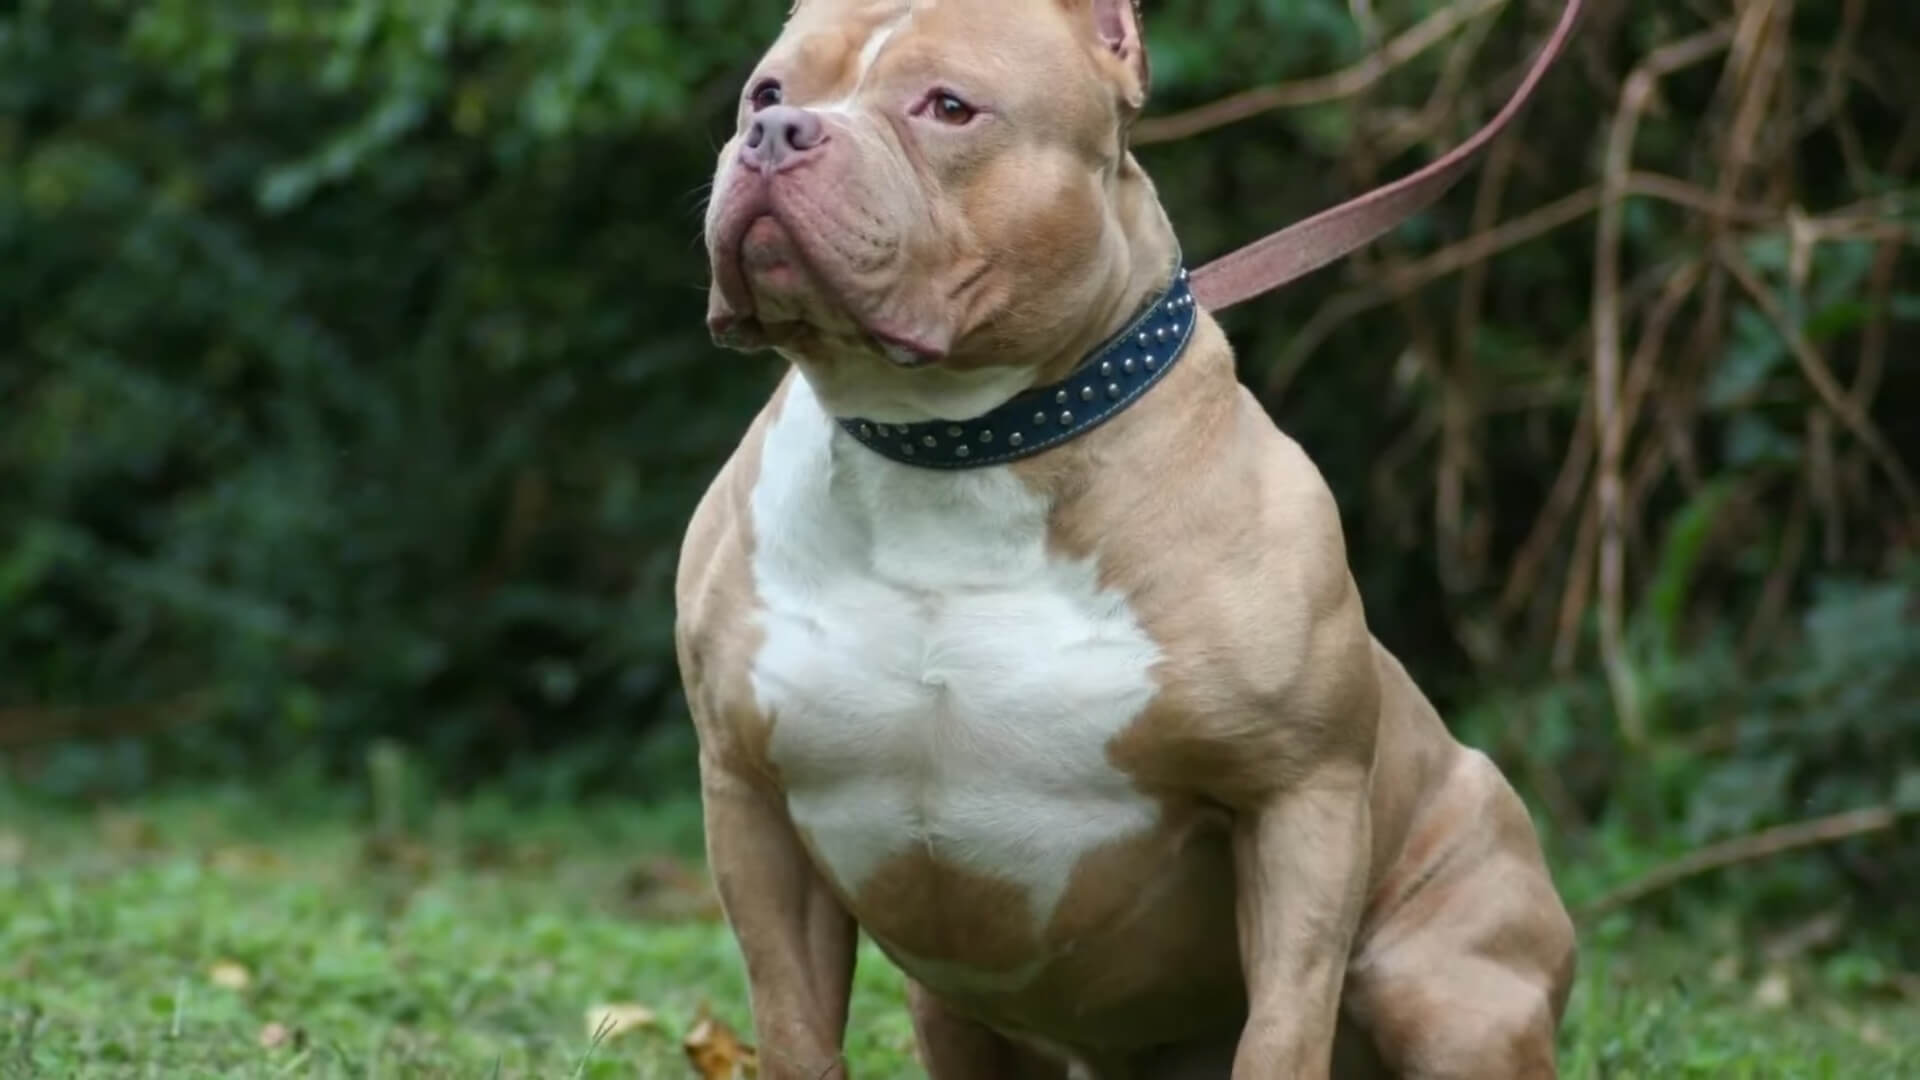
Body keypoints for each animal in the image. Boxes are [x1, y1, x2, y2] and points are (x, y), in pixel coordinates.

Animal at [683, 0, 1582, 1068]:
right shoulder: (750, 802)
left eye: (948, 107)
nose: (775, 134)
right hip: (949, 1014)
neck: (954, 447)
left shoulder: (1301, 799)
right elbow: (792, 1027)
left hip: (1449, 989)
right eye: (767, 91)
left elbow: (1283, 1032)